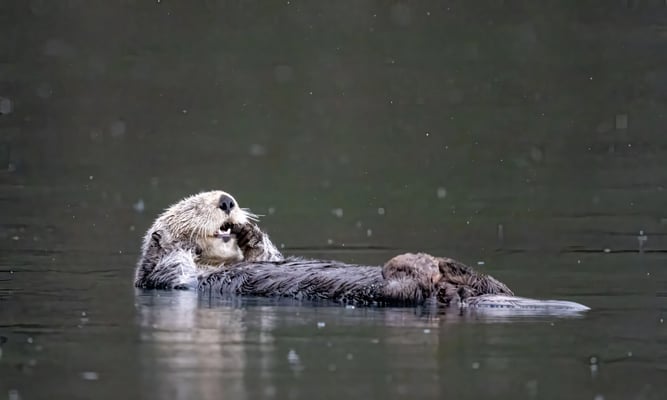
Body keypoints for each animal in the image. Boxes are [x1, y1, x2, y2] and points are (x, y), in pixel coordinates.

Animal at [135, 191, 590, 312]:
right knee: (412, 287)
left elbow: (265, 257)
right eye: (193, 205)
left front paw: (250, 231)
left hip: (487, 286)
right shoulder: (169, 280)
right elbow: (176, 264)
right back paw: (418, 263)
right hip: (403, 291)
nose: (227, 201)